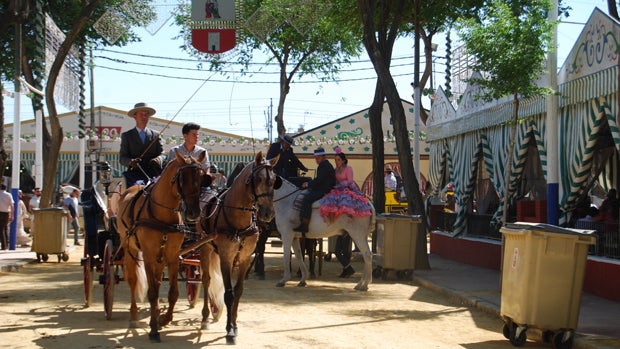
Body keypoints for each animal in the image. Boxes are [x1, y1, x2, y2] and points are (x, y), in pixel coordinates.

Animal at [117, 149, 209, 340]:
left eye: (202, 177)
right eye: (182, 178)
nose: (194, 213)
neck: (162, 215)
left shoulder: (172, 255)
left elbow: (173, 292)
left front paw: (164, 319)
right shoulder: (148, 255)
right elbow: (151, 292)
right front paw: (153, 328)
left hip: (160, 257)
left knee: (158, 281)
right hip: (130, 248)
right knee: (133, 280)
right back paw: (134, 315)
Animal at [197, 152, 280, 342]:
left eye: (274, 180)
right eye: (258, 179)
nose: (268, 213)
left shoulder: (244, 258)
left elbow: (238, 291)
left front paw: (234, 325)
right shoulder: (226, 258)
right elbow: (228, 294)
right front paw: (229, 330)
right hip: (205, 249)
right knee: (206, 280)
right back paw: (205, 317)